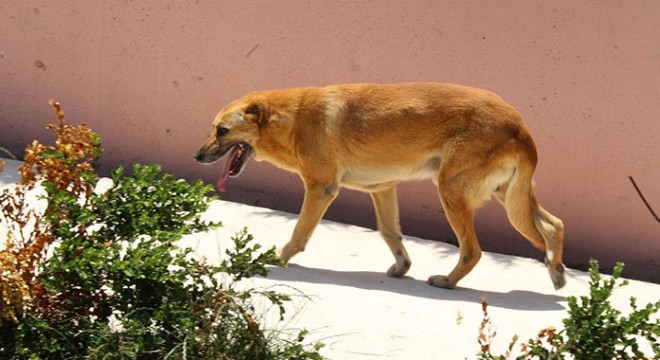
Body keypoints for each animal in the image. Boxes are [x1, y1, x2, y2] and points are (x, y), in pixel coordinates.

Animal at [193, 82, 564, 290]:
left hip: (452, 192)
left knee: (473, 250)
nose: (196, 156)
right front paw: (402, 267)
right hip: (509, 197)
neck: (293, 118)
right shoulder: (382, 190)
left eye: (222, 131)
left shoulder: (321, 189)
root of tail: (520, 125)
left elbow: (299, 234)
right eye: (213, 128)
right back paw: (557, 271)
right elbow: (390, 234)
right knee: (553, 225)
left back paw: (447, 282)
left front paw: (273, 258)